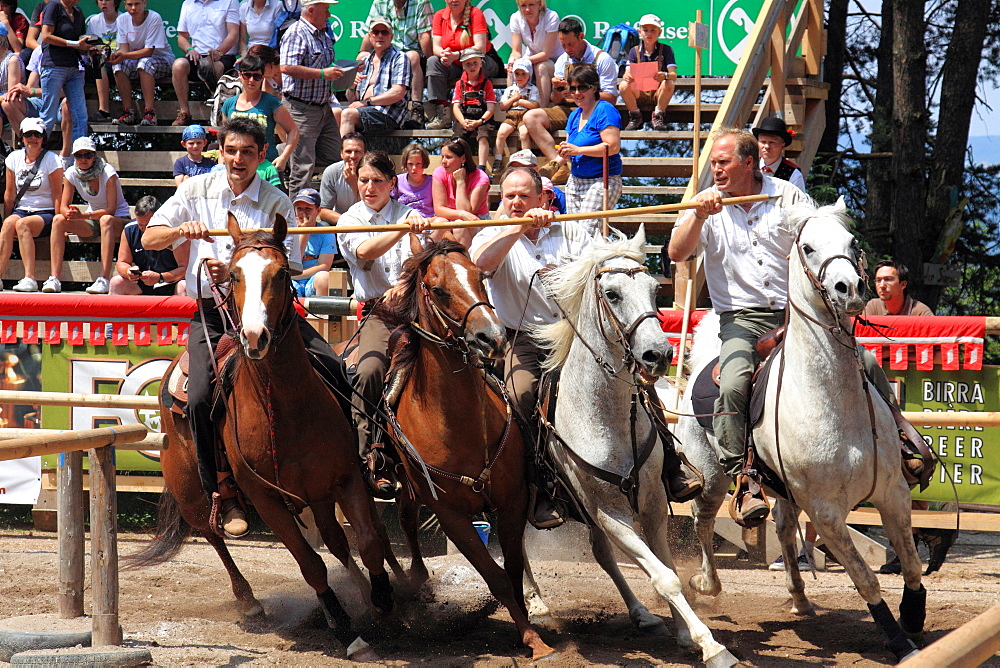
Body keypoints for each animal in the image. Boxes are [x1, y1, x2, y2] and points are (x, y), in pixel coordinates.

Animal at [132, 215, 394, 664]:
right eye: (233, 275)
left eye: (283, 273)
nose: (256, 337)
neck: (285, 406)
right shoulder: (267, 499)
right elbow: (310, 565)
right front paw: (348, 633)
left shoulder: (344, 479)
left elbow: (368, 541)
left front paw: (383, 600)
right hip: (191, 490)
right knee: (213, 534)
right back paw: (248, 599)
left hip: (315, 496)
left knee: (338, 542)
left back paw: (360, 589)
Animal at [376, 232, 556, 660]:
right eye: (439, 289)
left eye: (481, 276)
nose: (492, 337)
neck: (460, 424)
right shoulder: (451, 515)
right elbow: (496, 577)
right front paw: (532, 640)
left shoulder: (512, 500)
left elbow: (511, 569)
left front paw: (530, 628)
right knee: (385, 530)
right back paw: (407, 585)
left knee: (405, 519)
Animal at [532, 228, 744, 668]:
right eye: (611, 294)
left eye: (652, 290)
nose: (658, 354)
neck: (606, 418)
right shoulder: (608, 511)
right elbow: (663, 577)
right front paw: (711, 645)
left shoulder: (650, 500)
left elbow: (667, 568)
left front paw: (685, 634)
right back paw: (536, 607)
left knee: (602, 554)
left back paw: (641, 614)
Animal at [676, 197, 924, 664]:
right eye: (807, 247)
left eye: (851, 241)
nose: (848, 288)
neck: (833, 401)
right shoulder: (826, 514)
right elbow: (865, 578)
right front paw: (900, 641)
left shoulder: (893, 494)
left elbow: (913, 564)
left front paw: (914, 614)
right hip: (712, 478)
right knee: (703, 521)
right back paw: (706, 584)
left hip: (784, 492)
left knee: (783, 530)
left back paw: (800, 596)